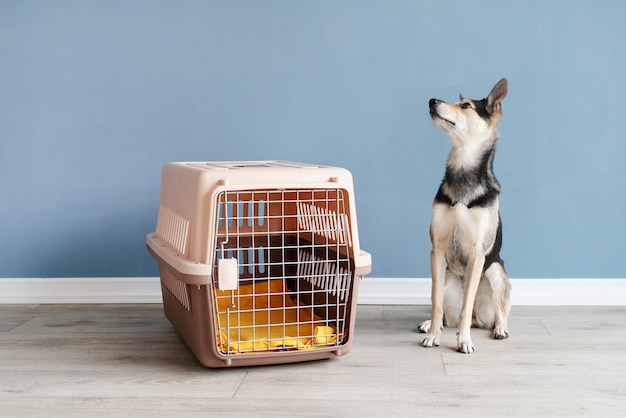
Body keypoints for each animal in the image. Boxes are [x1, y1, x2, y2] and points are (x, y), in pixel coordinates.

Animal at [414, 77, 512, 352]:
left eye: (465, 105)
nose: (432, 100)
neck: (463, 170)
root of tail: (481, 318)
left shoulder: (478, 253)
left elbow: (465, 308)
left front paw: (464, 341)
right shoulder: (437, 248)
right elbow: (436, 302)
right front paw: (433, 335)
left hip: (496, 271)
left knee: (499, 311)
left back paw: (499, 329)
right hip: (447, 276)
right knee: (447, 314)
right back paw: (429, 324)